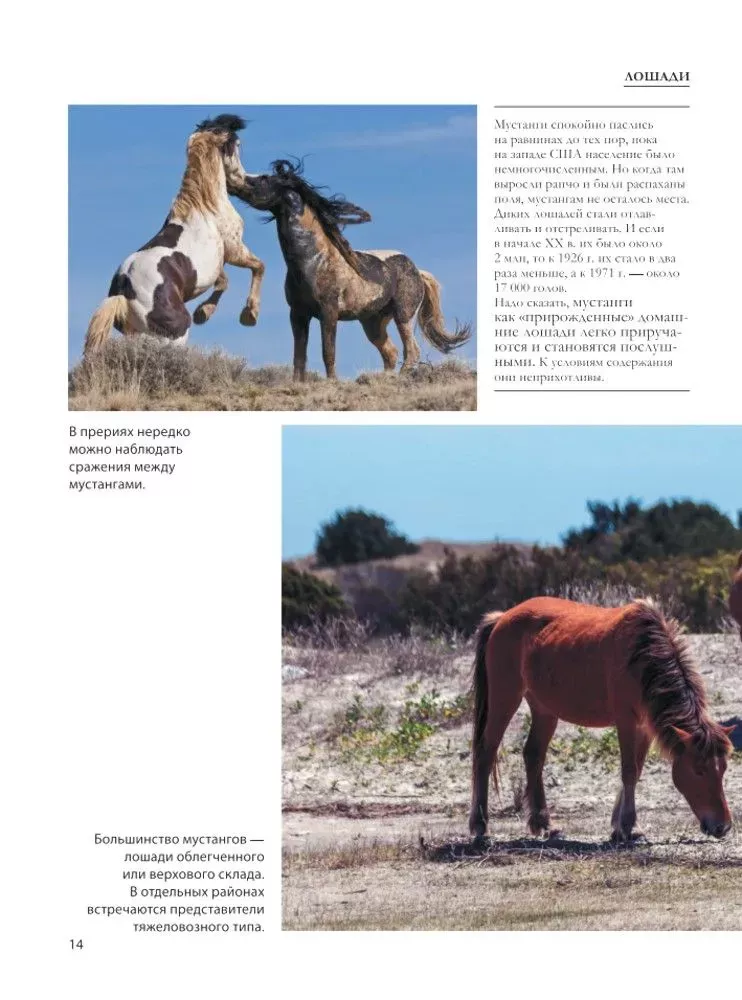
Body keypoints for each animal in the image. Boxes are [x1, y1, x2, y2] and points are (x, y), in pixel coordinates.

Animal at [84, 115, 265, 356]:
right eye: (236, 146)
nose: (245, 181)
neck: (205, 206)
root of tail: (124, 289)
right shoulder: (235, 250)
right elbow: (258, 267)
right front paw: (249, 314)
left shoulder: (217, 264)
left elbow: (223, 281)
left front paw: (203, 312)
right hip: (174, 335)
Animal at [234, 160, 472, 380]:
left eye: (264, 179)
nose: (235, 180)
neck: (314, 261)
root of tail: (418, 271)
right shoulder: (298, 313)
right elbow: (299, 356)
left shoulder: (328, 312)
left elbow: (327, 351)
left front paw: (332, 382)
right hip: (373, 322)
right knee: (391, 352)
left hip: (403, 314)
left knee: (411, 350)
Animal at [469, 596, 734, 843]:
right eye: (699, 770)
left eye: (722, 769)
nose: (722, 827)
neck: (643, 655)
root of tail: (502, 618)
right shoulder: (626, 721)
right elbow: (629, 770)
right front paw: (627, 826)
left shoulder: (645, 726)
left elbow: (637, 770)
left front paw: (622, 826)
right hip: (505, 698)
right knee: (486, 753)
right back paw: (480, 825)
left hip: (544, 709)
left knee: (533, 755)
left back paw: (543, 824)